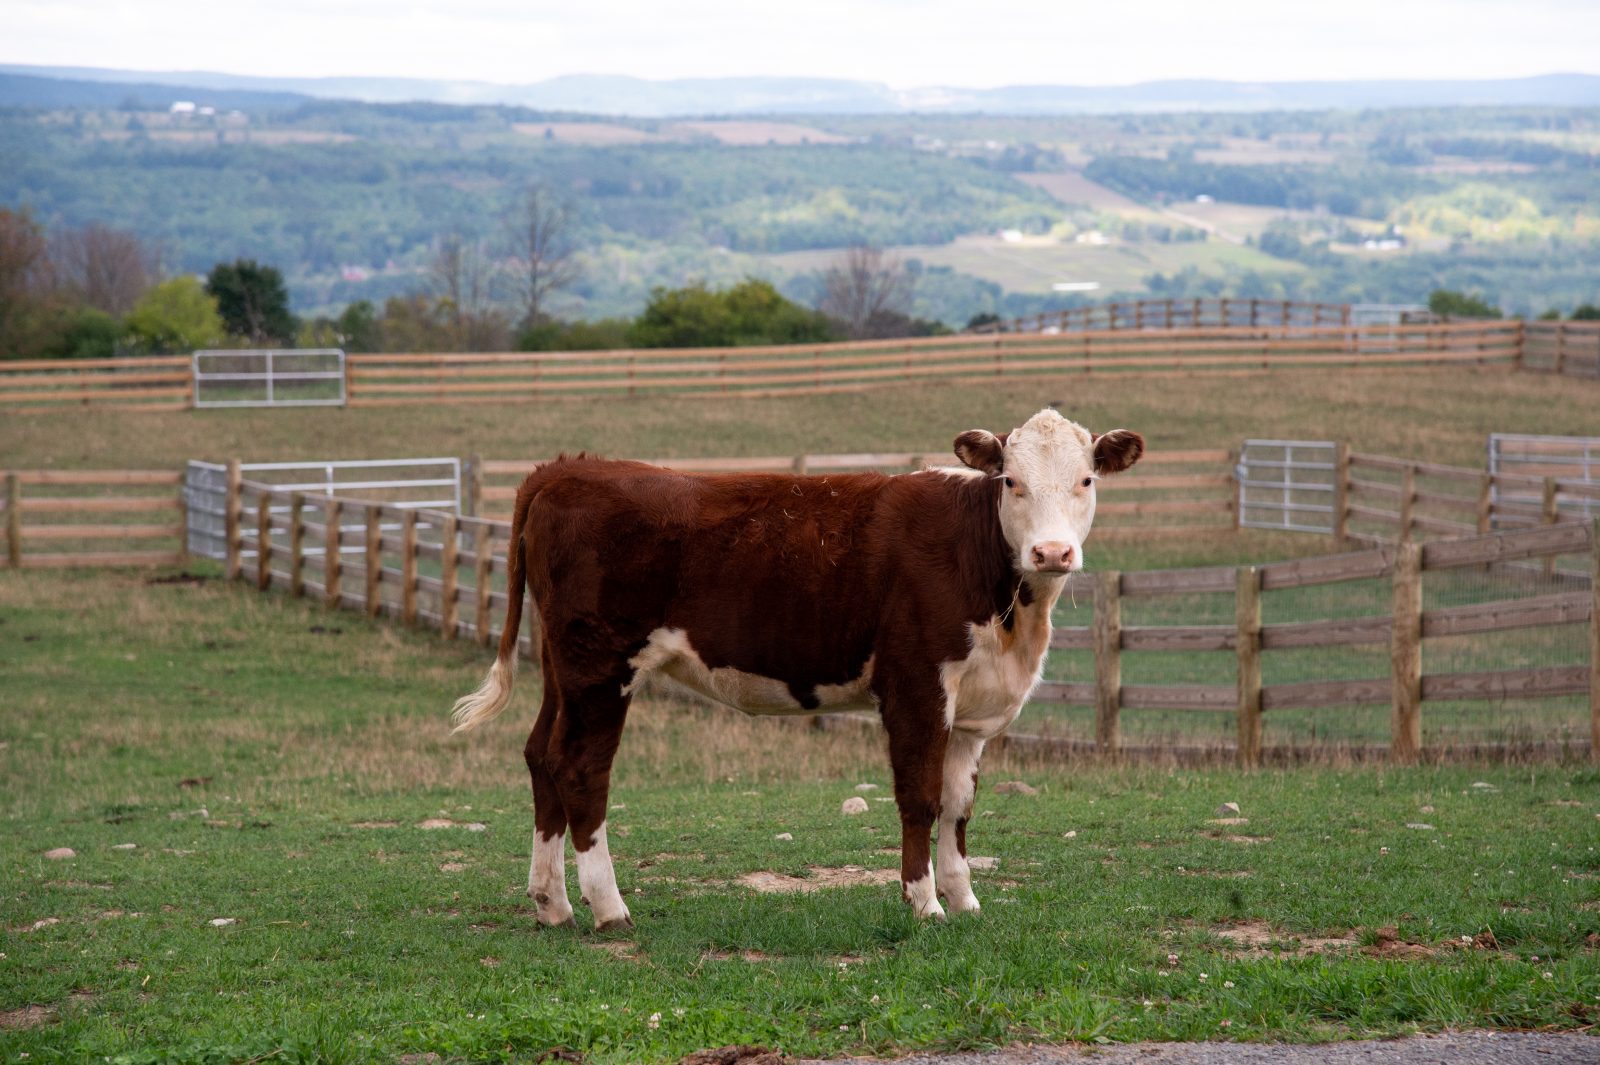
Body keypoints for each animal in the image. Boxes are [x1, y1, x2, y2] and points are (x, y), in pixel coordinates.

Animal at [451, 409, 1145, 927]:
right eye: (1010, 481)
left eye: (1087, 480)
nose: (1052, 552)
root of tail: (566, 470)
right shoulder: (915, 686)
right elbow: (919, 798)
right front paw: (923, 905)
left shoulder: (972, 707)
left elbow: (958, 806)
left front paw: (965, 898)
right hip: (601, 666)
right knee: (581, 768)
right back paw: (608, 908)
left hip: (560, 665)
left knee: (541, 755)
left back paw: (552, 904)